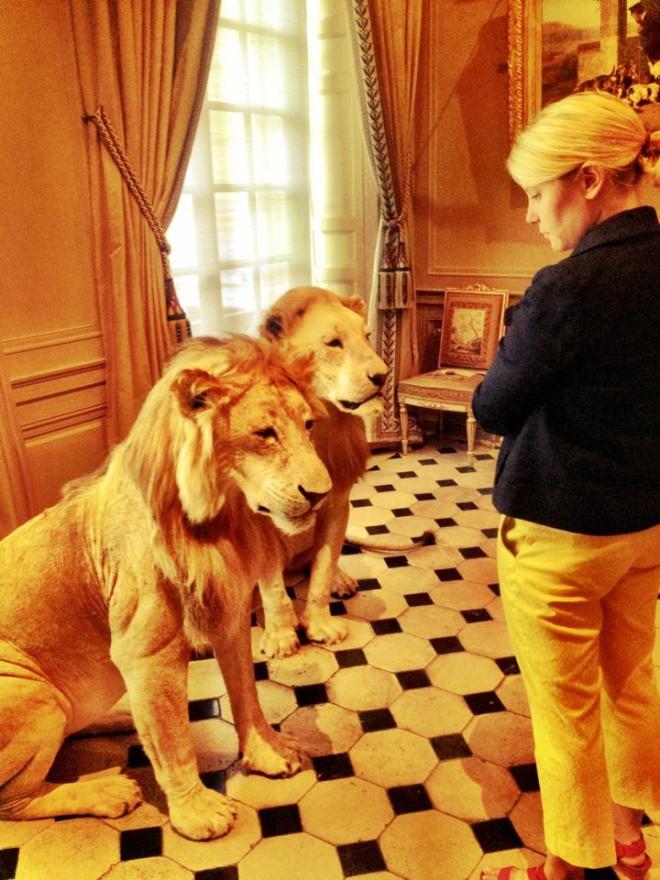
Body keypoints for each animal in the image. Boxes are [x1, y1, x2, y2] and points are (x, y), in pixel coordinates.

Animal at [0, 336, 330, 840]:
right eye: (265, 434)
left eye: (308, 425)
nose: (322, 494)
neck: (224, 520)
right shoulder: (148, 651)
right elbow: (172, 741)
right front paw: (198, 812)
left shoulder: (230, 614)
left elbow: (247, 695)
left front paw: (266, 752)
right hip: (26, 689)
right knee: (14, 801)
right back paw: (108, 791)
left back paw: (118, 715)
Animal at [258, 286, 390, 656]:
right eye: (333, 343)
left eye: (367, 337)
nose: (383, 376)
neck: (318, 423)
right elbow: (272, 586)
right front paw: (280, 636)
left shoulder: (337, 504)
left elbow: (321, 567)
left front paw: (319, 625)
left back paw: (341, 580)